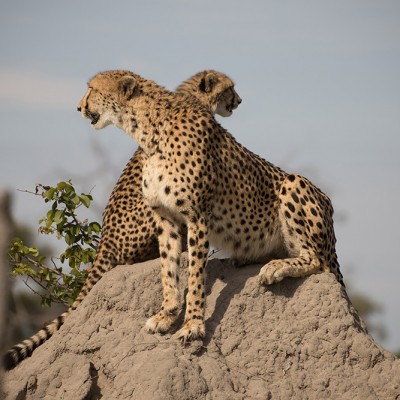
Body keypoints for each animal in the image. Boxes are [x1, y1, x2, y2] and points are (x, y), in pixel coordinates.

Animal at [75, 69, 344, 344]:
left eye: (92, 89)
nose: (79, 107)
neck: (147, 130)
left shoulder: (197, 216)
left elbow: (195, 274)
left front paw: (193, 324)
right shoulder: (165, 217)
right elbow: (167, 269)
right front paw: (166, 314)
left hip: (293, 183)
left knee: (317, 260)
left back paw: (275, 267)